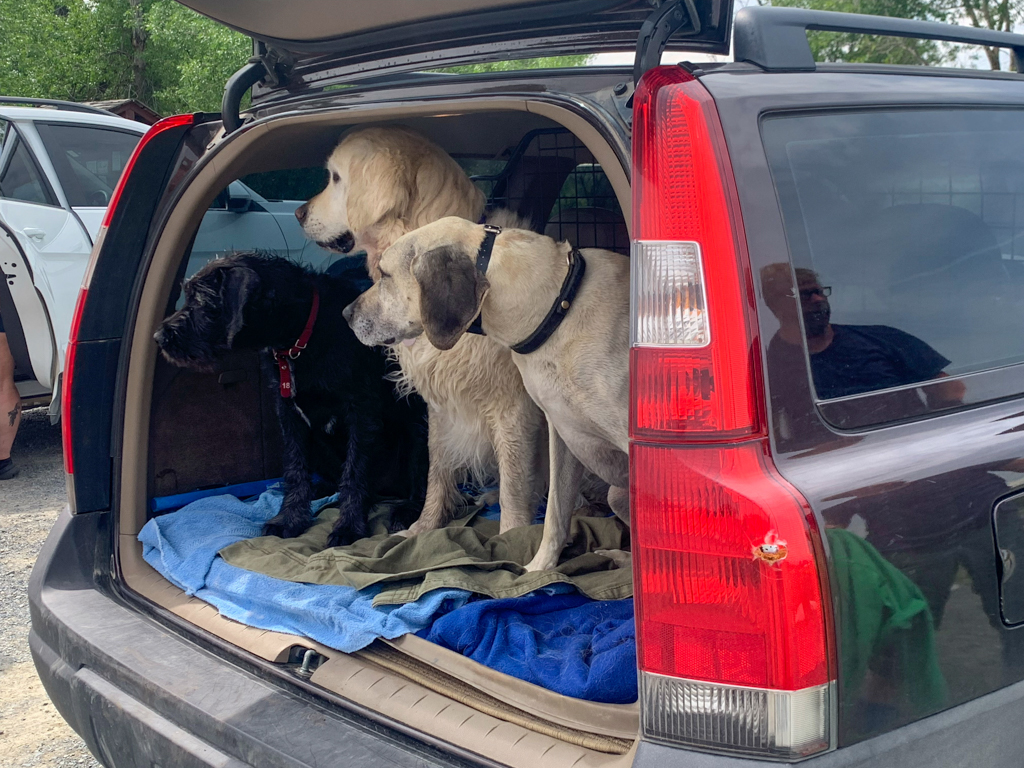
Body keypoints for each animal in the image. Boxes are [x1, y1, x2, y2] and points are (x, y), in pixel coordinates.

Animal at [153, 252, 425, 548]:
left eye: (201, 300)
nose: (158, 337)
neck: (301, 338)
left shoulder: (361, 413)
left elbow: (355, 472)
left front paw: (349, 527)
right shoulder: (289, 416)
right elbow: (295, 469)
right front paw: (289, 518)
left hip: (417, 429)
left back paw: (407, 510)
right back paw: (321, 488)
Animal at [299, 128, 548, 536]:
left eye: (335, 178)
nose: (298, 213)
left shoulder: (513, 407)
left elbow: (514, 487)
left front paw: (512, 537)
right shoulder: (439, 402)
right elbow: (437, 469)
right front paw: (424, 526)